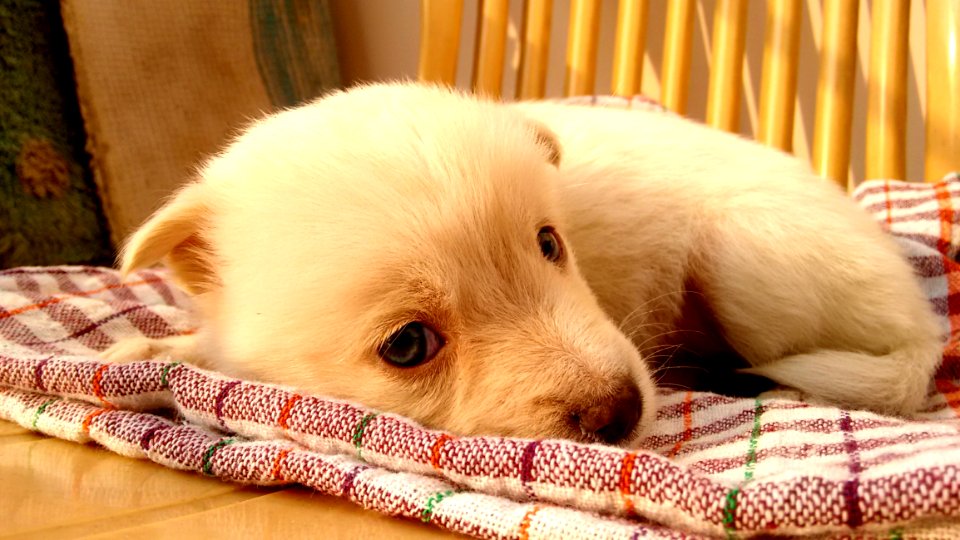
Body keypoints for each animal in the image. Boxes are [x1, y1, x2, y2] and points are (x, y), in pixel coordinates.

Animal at [101, 83, 940, 448]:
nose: (621, 412)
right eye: (408, 345)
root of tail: (924, 324)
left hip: (747, 258)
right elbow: (201, 346)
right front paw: (142, 347)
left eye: (548, 244)